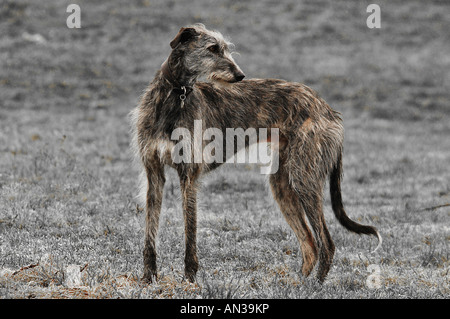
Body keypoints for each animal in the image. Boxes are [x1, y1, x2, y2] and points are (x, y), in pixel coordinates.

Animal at [129, 24, 380, 284]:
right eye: (213, 48)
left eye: (226, 48)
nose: (241, 75)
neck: (175, 96)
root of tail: (328, 108)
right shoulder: (153, 174)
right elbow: (150, 232)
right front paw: (148, 278)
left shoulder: (189, 175)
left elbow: (190, 231)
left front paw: (189, 279)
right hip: (282, 185)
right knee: (310, 244)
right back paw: (298, 285)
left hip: (304, 179)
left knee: (326, 243)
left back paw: (315, 286)